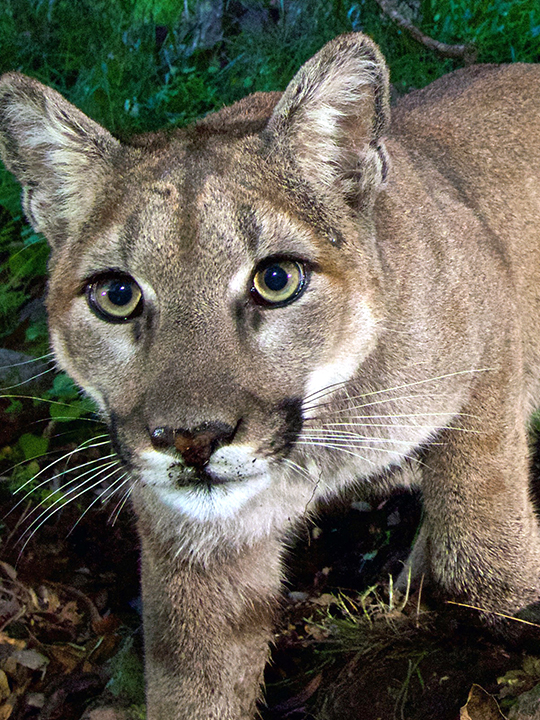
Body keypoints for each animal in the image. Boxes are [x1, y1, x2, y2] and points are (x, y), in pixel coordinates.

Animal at [1, 33, 540, 720]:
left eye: (277, 279)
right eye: (117, 295)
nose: (192, 439)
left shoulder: (491, 332)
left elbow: (479, 522)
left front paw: (516, 605)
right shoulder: (195, 542)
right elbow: (196, 680)